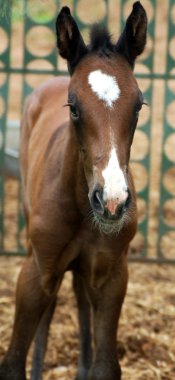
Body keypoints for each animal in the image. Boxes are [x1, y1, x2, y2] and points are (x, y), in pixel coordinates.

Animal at [0, 2, 147, 380]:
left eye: (138, 105)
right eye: (74, 106)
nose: (112, 201)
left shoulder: (112, 273)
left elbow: (106, 365)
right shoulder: (38, 270)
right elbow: (13, 362)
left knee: (80, 293)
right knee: (52, 305)